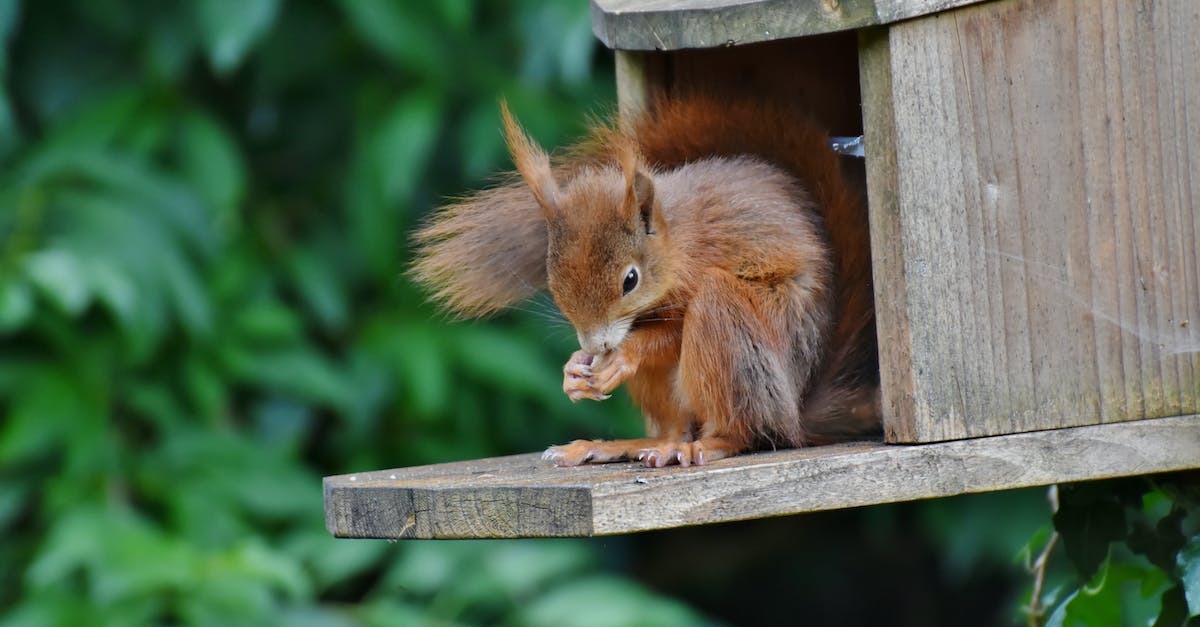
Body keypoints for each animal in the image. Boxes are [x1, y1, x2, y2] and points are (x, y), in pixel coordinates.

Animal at [411, 94, 880, 467]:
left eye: (630, 280)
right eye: (553, 280)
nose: (596, 345)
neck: (677, 244)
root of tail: (795, 411)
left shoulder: (701, 266)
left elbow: (671, 333)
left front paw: (623, 355)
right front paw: (573, 369)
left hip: (739, 335)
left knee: (745, 428)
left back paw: (705, 446)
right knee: (674, 429)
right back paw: (615, 446)